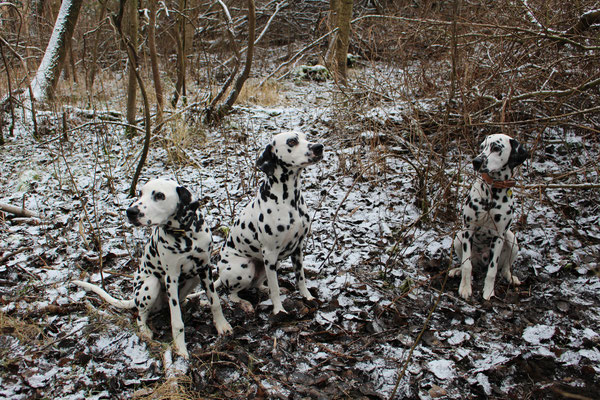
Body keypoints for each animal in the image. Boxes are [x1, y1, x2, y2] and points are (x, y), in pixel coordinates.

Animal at [74, 180, 233, 358]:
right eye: (140, 193)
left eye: (159, 195)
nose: (130, 212)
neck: (186, 236)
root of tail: (134, 298)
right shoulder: (171, 277)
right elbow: (176, 321)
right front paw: (180, 349)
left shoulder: (204, 269)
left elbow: (215, 301)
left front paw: (222, 325)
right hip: (150, 284)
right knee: (140, 315)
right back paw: (145, 330)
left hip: (194, 277)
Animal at [214, 131, 324, 316]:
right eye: (292, 141)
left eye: (305, 137)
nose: (319, 147)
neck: (290, 200)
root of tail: (220, 275)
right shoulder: (270, 253)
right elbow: (275, 288)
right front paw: (279, 311)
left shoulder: (297, 249)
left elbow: (300, 277)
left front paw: (308, 297)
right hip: (245, 268)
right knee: (232, 294)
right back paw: (244, 304)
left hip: (271, 264)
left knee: (258, 285)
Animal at [450, 134, 528, 300]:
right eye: (481, 147)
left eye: (496, 148)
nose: (476, 161)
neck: (492, 192)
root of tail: (482, 260)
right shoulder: (468, 230)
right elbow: (467, 265)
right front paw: (465, 288)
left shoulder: (499, 236)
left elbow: (492, 270)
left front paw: (488, 292)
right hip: (459, 237)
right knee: (468, 263)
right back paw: (457, 271)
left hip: (512, 239)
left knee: (503, 268)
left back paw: (510, 277)